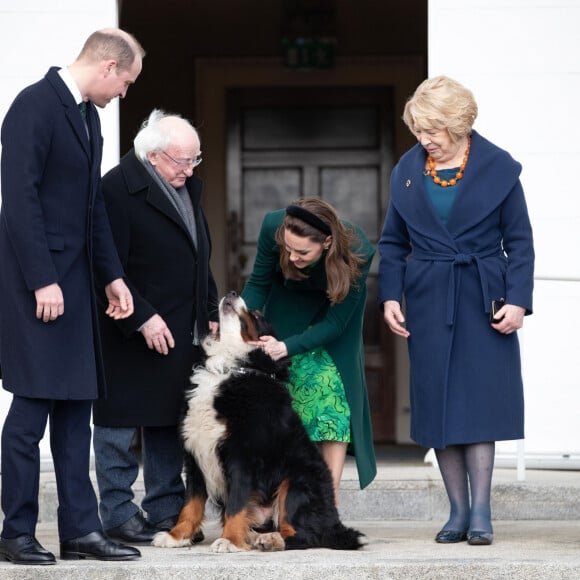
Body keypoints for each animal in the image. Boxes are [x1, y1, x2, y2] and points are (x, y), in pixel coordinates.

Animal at [154, 292, 362, 552]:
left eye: (256, 315)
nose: (232, 293)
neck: (231, 368)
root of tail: (334, 523)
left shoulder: (242, 455)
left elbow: (236, 503)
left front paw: (229, 540)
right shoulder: (194, 456)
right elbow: (190, 504)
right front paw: (176, 536)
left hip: (297, 481)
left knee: (304, 535)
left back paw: (270, 540)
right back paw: (254, 536)